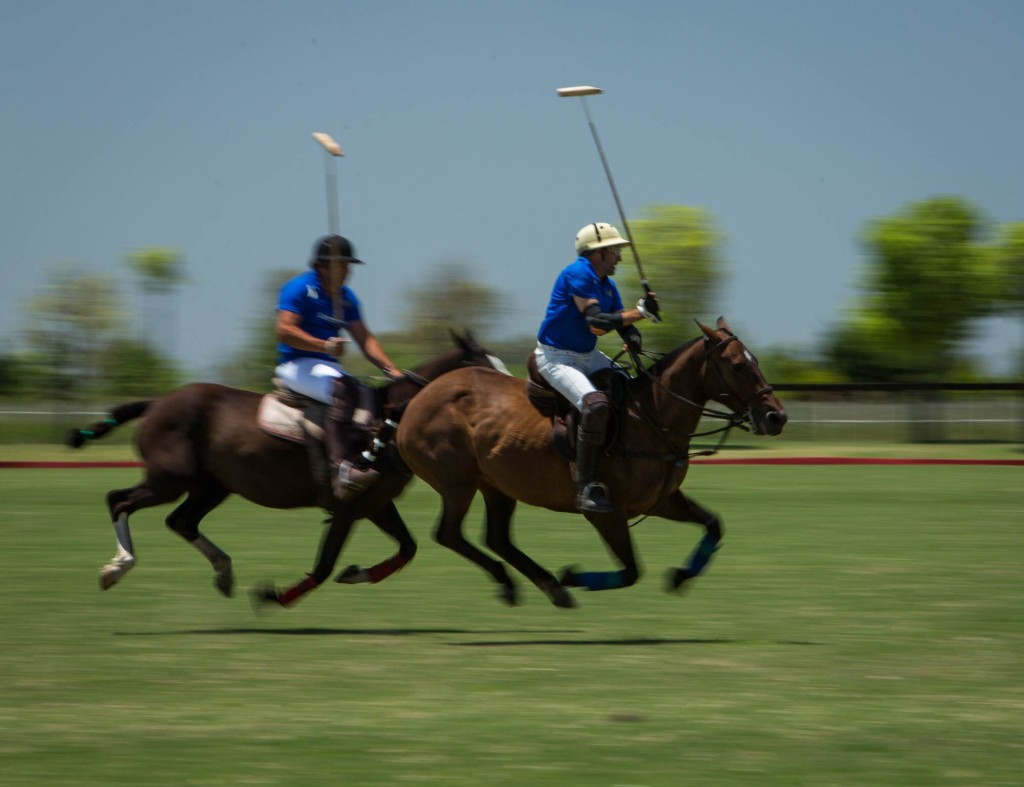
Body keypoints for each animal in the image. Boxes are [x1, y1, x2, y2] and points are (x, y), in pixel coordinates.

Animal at [64, 327, 503, 597]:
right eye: (486, 371)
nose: (514, 397)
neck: (387, 421)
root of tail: (156, 403)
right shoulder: (348, 505)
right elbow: (327, 562)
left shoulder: (374, 502)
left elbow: (407, 547)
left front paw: (355, 573)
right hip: (169, 478)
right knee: (119, 499)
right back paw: (117, 567)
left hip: (212, 485)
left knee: (181, 520)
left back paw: (223, 571)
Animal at [395, 317, 786, 605]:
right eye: (738, 365)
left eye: (756, 361)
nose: (776, 417)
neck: (651, 418)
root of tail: (417, 399)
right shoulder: (606, 514)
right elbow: (631, 571)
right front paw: (573, 576)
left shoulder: (661, 501)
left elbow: (714, 524)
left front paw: (680, 575)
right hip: (457, 481)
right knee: (449, 533)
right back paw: (534, 584)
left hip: (496, 484)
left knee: (497, 538)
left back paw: (549, 588)